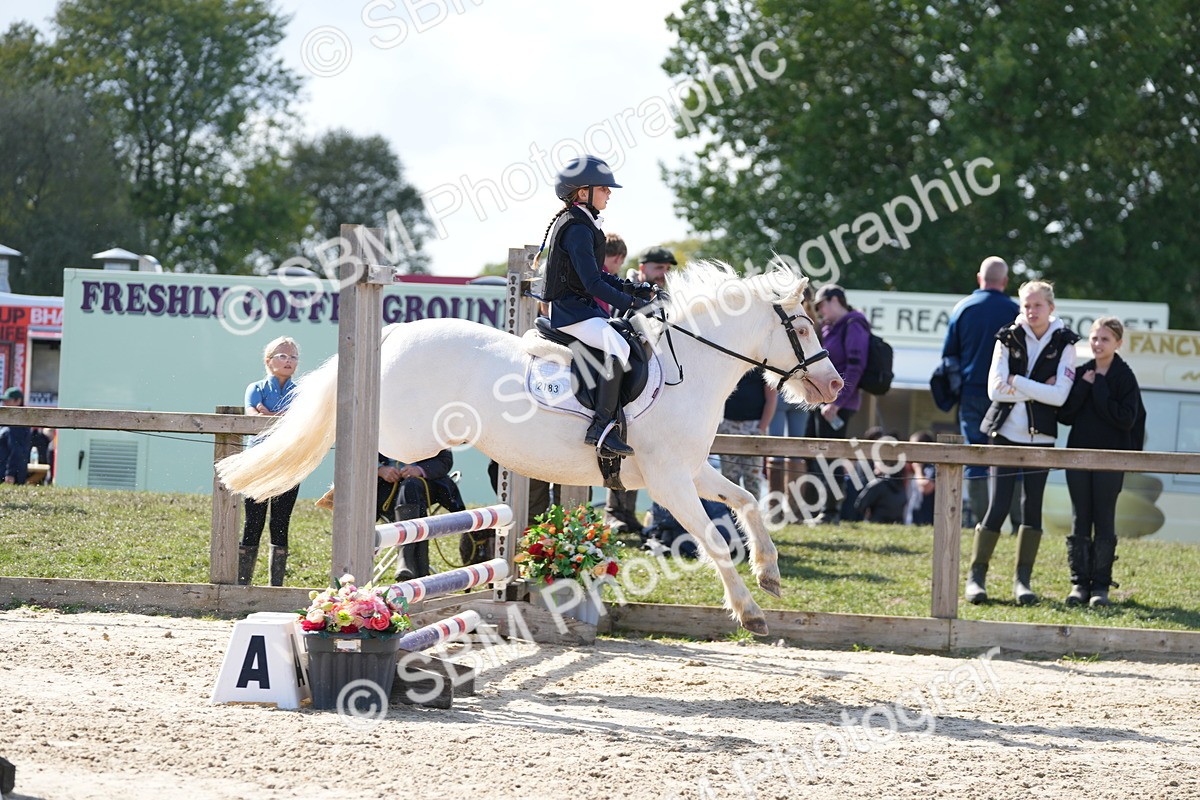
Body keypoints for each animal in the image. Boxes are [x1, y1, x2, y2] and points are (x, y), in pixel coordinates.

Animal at [217, 261, 843, 634]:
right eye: (802, 329)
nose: (835, 385)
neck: (688, 365)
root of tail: (397, 333)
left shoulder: (686, 472)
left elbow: (747, 502)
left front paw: (768, 573)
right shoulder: (669, 482)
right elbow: (714, 538)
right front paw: (751, 612)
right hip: (408, 429)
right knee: (368, 448)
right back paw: (334, 498)